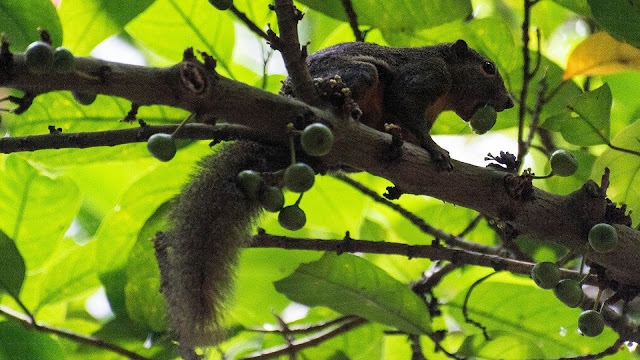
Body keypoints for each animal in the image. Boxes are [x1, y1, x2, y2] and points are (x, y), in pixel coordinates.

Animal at [158, 38, 512, 348]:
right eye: (488, 67)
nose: (509, 102)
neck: (447, 83)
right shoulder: (423, 77)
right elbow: (407, 107)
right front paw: (436, 149)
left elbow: (409, 129)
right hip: (358, 74)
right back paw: (348, 111)